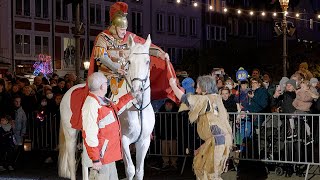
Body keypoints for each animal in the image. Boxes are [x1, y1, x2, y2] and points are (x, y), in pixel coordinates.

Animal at [59, 35, 156, 180]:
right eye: (129, 62)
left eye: (147, 62)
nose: (137, 89)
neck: (137, 109)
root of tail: (68, 91)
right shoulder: (123, 140)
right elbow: (130, 170)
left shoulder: (143, 142)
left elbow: (139, 172)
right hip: (70, 133)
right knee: (72, 161)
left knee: (85, 159)